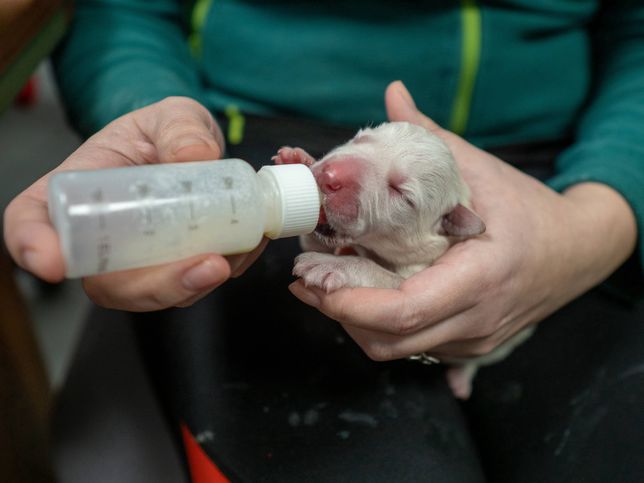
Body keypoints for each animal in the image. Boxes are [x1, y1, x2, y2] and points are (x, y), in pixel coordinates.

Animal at [274, 123, 524, 398]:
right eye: (360, 138)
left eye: (400, 193)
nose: (330, 176)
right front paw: (297, 159)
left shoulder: (415, 271)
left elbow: (378, 272)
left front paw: (329, 265)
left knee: (473, 362)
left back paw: (460, 380)